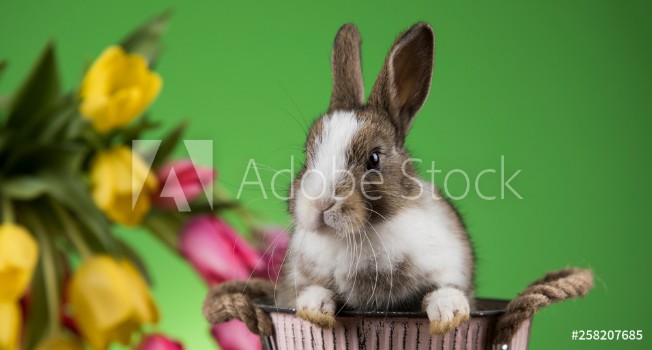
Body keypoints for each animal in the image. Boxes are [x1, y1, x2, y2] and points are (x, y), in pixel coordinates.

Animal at [278, 22, 476, 336]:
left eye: (374, 158)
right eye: (307, 156)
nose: (319, 203)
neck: (354, 237)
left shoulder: (450, 266)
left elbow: (442, 289)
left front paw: (450, 315)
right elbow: (315, 290)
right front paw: (315, 311)